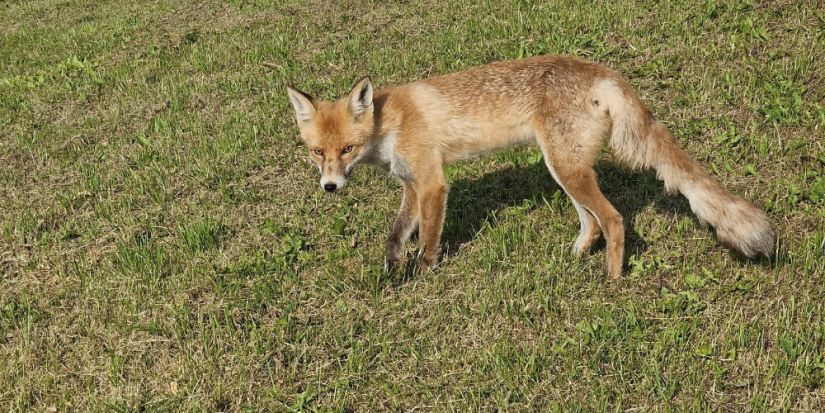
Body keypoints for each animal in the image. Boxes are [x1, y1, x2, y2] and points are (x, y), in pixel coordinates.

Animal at [286, 54, 776, 276]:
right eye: (317, 152)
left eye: (347, 149)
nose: (329, 187)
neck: (389, 123)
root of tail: (602, 72)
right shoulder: (411, 184)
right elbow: (395, 237)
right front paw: (391, 275)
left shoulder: (433, 184)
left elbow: (426, 240)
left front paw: (421, 277)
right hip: (564, 168)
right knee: (592, 223)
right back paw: (574, 257)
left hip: (566, 169)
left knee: (614, 220)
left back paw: (613, 281)